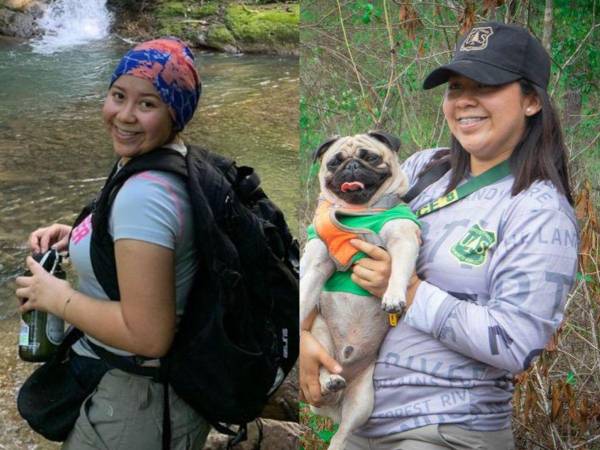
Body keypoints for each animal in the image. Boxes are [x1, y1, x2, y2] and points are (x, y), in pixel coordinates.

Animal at [300, 131, 422, 450]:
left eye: (370, 157)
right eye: (335, 162)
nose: (352, 166)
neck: (361, 213)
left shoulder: (402, 237)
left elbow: (398, 270)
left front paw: (393, 296)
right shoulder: (316, 260)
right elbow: (304, 295)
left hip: (363, 402)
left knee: (342, 433)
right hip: (322, 338)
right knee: (324, 369)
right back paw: (329, 380)